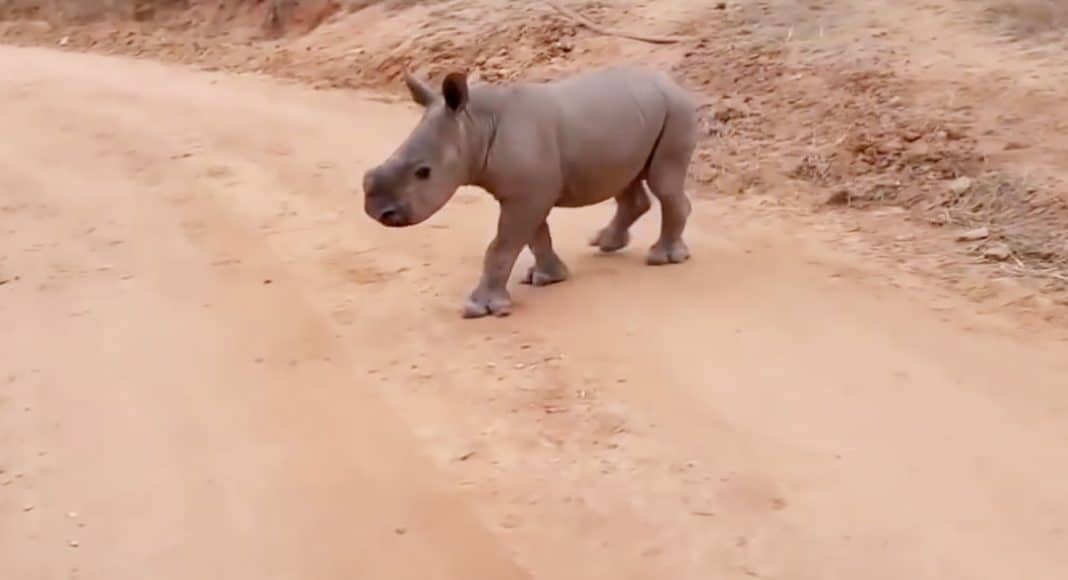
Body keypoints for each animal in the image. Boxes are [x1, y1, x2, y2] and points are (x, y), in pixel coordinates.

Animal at [362, 66, 699, 318]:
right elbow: (535, 237)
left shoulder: (527, 194)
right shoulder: (527, 191)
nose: (378, 213)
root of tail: (674, 84)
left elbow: (502, 246)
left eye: (423, 172)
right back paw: (606, 243)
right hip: (638, 116)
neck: (474, 126)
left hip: (677, 110)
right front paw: (548, 278)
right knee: (626, 179)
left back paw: (662, 258)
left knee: (663, 181)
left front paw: (481, 308)